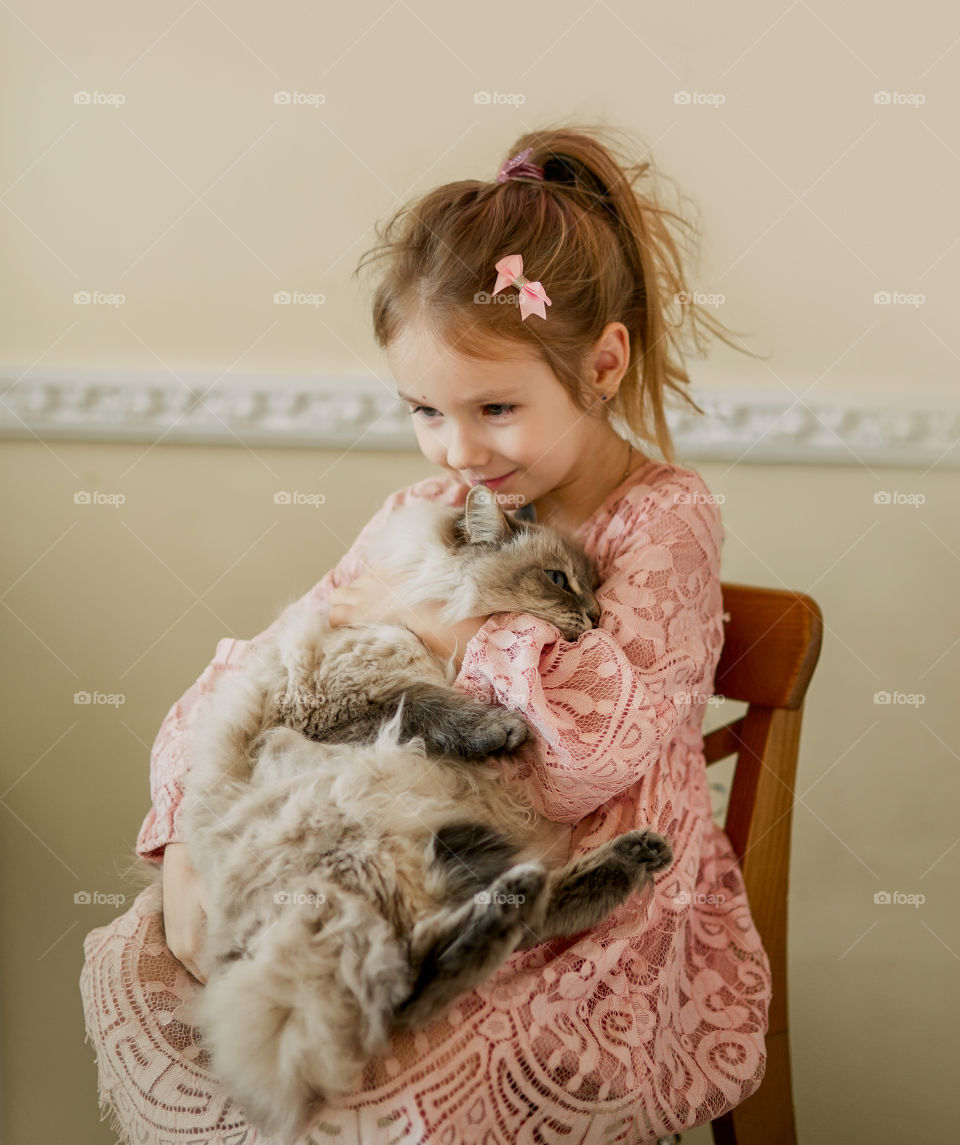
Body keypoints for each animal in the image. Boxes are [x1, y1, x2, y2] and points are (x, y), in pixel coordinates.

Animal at [175, 485, 678, 1145]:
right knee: (408, 987)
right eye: (557, 580)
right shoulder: (329, 711)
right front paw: (501, 730)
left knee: (461, 950)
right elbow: (426, 704)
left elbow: (427, 702)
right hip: (360, 853)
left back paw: (617, 864)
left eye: (593, 586)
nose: (596, 617)